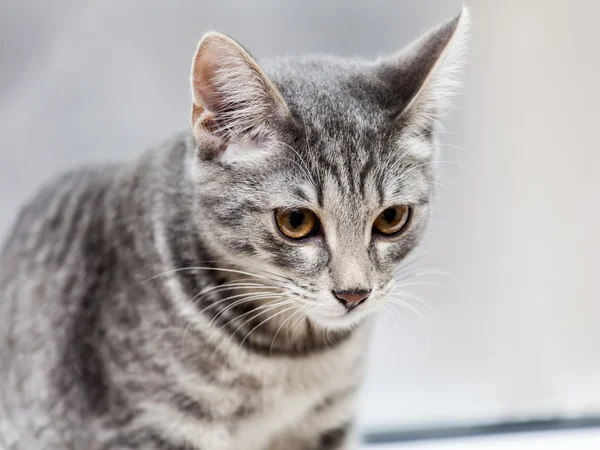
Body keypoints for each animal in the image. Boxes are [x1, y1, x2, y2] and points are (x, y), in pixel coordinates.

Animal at [0, 9, 468, 450]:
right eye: (296, 222)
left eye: (392, 218)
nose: (354, 294)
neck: (294, 359)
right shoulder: (151, 426)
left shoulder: (328, 424)